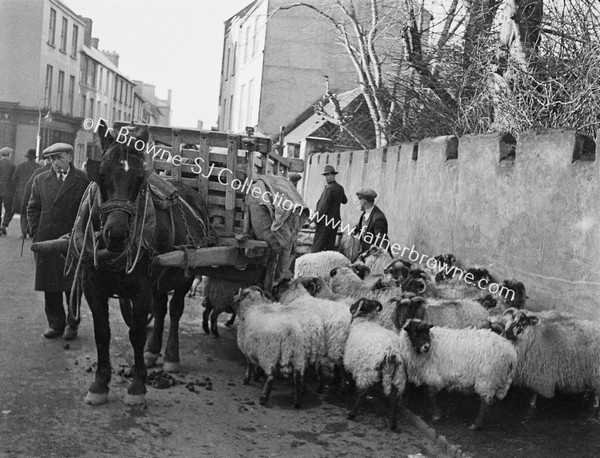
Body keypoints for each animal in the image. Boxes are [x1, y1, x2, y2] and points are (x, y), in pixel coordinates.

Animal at [75, 121, 209, 404]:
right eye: (101, 174)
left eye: (140, 179)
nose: (116, 234)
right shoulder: (92, 285)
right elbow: (102, 332)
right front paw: (100, 383)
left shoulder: (141, 288)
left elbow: (136, 333)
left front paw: (137, 385)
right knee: (160, 309)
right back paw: (152, 351)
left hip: (186, 270)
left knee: (175, 310)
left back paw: (170, 356)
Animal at [342, 296, 408, 430]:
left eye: (358, 303)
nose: (351, 307)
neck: (366, 322)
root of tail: (390, 353)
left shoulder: (348, 360)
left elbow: (345, 376)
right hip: (399, 377)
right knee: (394, 399)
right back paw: (393, 424)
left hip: (366, 373)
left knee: (362, 393)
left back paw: (352, 413)